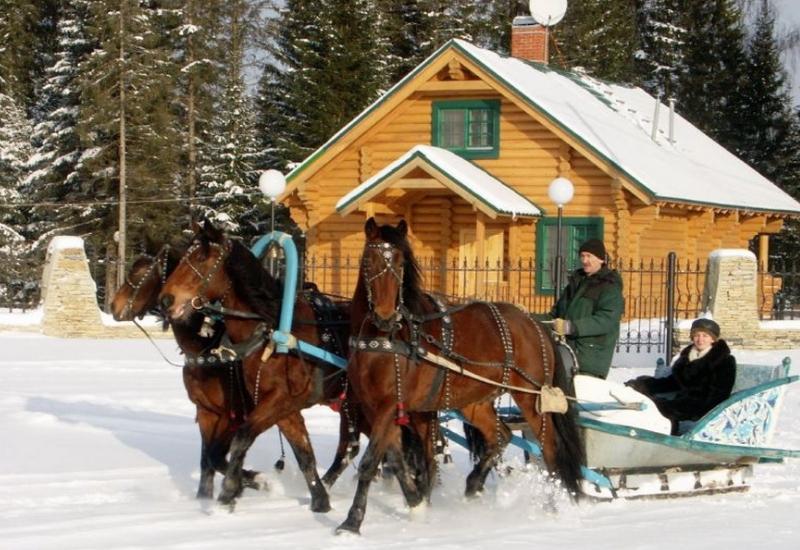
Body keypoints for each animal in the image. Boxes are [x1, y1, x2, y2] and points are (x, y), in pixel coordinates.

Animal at [334, 219, 584, 536]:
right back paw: (473, 486)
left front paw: (352, 521)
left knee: (548, 446)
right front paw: (417, 503)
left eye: (401, 263)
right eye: (369, 260)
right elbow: (396, 458)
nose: (386, 315)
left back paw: (551, 504)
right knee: (500, 435)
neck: (382, 338)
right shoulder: (375, 407)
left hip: (531, 397)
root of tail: (536, 325)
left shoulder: (390, 405)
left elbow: (370, 462)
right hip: (472, 402)